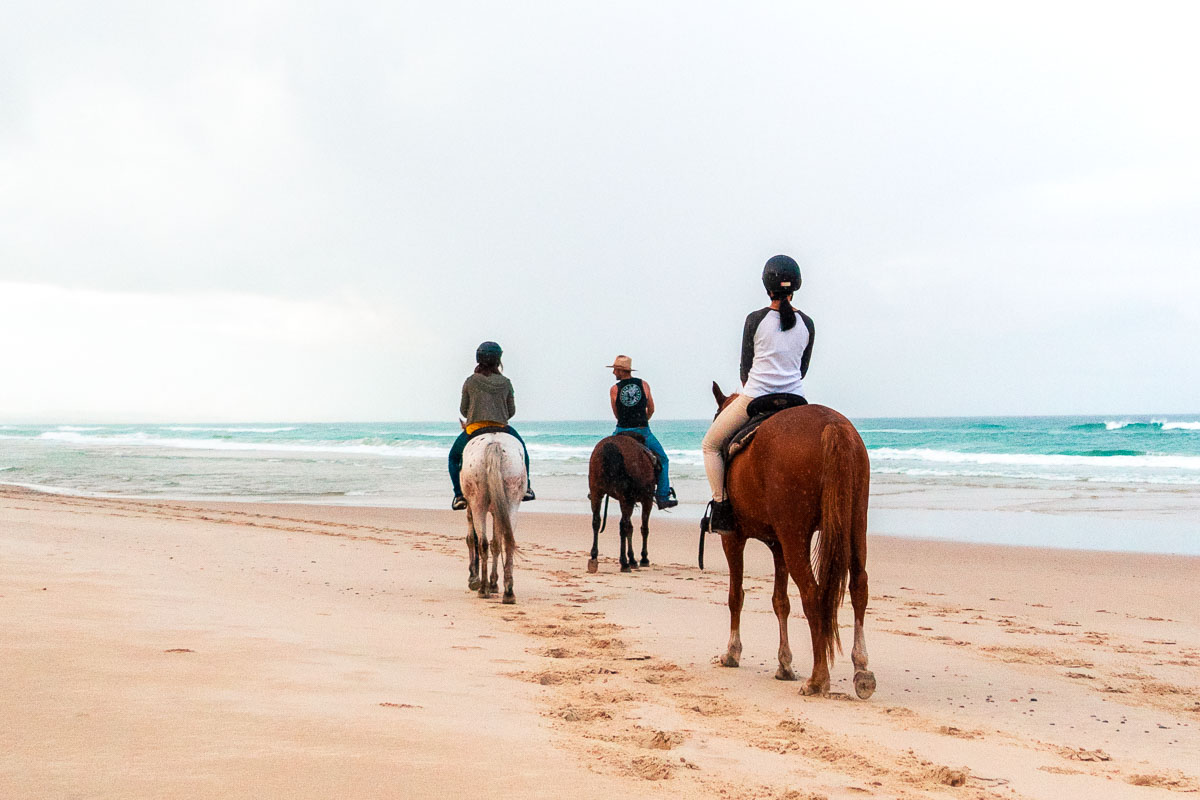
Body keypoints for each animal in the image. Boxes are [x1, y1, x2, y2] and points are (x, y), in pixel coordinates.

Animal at [588, 434, 657, 573]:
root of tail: (609, 446)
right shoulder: (646, 500)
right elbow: (644, 528)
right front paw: (643, 559)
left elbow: (631, 528)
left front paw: (633, 559)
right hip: (626, 499)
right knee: (623, 525)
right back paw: (624, 563)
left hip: (596, 492)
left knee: (596, 521)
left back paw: (594, 558)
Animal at [705, 383, 878, 700]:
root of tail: (832, 425)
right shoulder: (778, 545)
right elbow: (780, 601)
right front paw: (784, 664)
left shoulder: (734, 539)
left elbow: (736, 596)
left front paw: (732, 653)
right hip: (854, 523)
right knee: (859, 585)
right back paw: (862, 671)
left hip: (795, 536)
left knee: (812, 593)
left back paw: (818, 679)